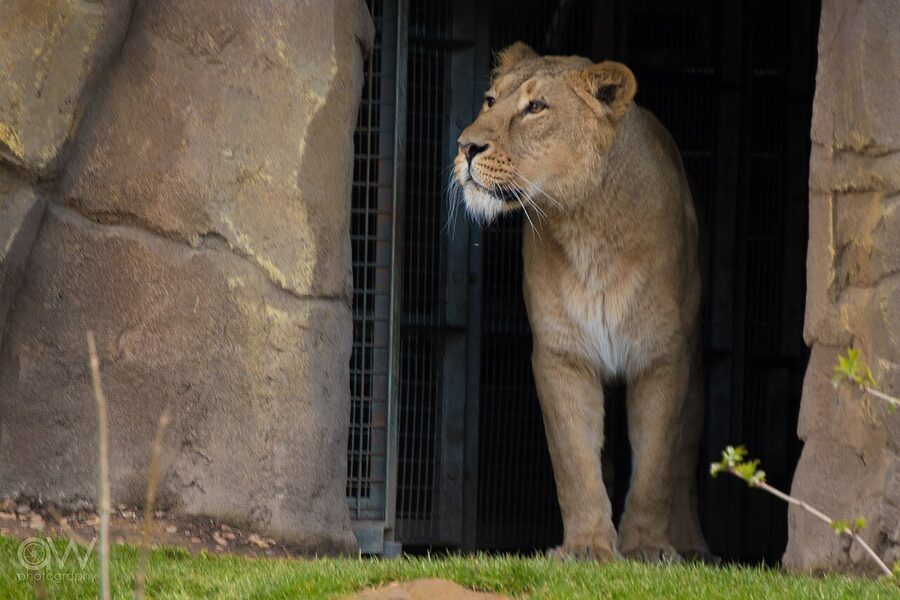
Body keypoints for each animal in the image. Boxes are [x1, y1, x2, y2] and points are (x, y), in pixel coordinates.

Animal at [452, 43, 708, 562]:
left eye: (536, 107)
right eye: (490, 101)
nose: (465, 147)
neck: (585, 225)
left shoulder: (662, 354)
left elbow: (656, 462)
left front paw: (646, 547)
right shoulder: (562, 353)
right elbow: (573, 458)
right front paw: (588, 546)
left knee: (684, 454)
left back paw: (691, 545)